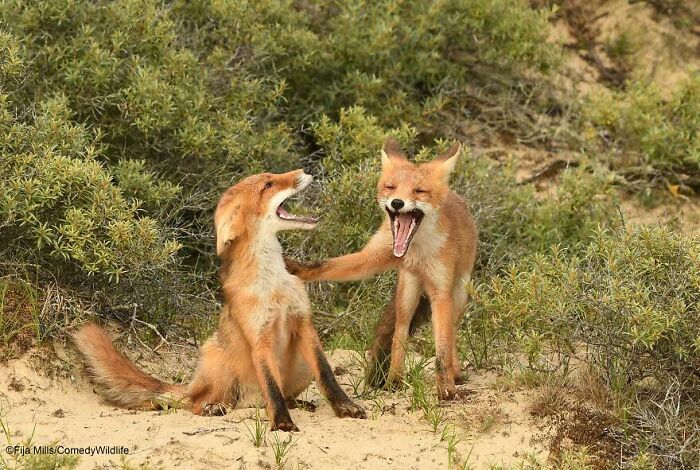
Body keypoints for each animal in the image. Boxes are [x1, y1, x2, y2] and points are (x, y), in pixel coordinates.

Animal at [73, 170, 366, 431]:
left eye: (272, 177)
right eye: (268, 184)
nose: (306, 170)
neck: (273, 285)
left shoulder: (304, 325)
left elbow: (327, 376)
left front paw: (345, 407)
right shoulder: (259, 340)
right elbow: (272, 388)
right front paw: (281, 423)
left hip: (301, 368)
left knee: (279, 397)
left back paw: (299, 405)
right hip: (217, 359)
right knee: (200, 403)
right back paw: (214, 407)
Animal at [286, 139, 478, 400]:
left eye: (419, 191)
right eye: (391, 187)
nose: (397, 203)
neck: (416, 250)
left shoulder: (441, 291)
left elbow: (442, 350)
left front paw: (446, 388)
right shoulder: (373, 255)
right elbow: (328, 265)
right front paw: (296, 267)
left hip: (457, 295)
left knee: (452, 334)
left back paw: (455, 374)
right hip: (407, 294)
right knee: (400, 331)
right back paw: (393, 381)